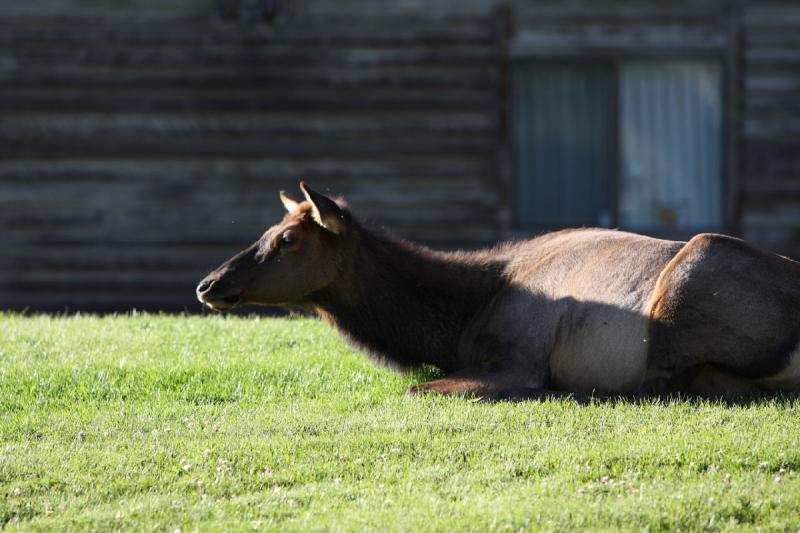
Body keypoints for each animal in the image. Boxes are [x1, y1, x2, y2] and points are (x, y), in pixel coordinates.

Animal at [197, 181, 800, 396]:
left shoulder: (519, 360)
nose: (209, 283)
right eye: (269, 230)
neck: (460, 318)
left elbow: (417, 390)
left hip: (689, 274)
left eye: (289, 238)